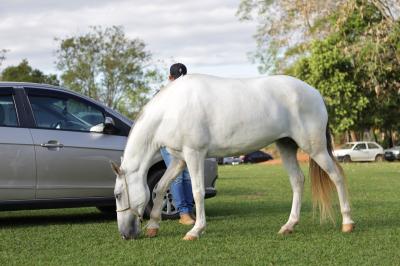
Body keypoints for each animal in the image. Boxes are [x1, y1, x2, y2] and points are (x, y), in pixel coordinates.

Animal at [109, 74, 354, 240]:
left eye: (119, 195)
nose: (124, 234)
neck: (171, 110)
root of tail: (315, 93)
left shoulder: (194, 154)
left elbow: (197, 192)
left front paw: (195, 230)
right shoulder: (179, 160)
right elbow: (160, 187)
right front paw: (153, 226)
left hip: (315, 148)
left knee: (337, 177)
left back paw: (348, 222)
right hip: (286, 146)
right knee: (297, 181)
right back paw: (289, 226)